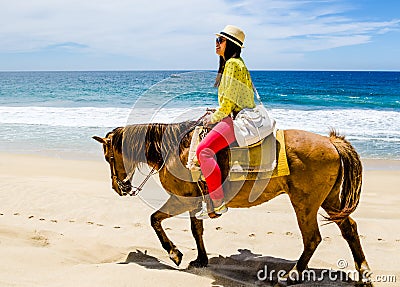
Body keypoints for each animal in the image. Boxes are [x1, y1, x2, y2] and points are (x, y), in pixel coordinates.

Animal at [92, 121, 370, 286]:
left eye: (107, 157)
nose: (119, 187)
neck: (172, 150)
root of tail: (330, 141)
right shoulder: (193, 201)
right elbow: (196, 229)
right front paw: (200, 259)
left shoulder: (180, 199)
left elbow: (154, 220)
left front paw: (174, 253)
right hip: (329, 201)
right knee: (349, 229)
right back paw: (363, 273)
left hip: (305, 203)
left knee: (312, 238)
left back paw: (292, 275)